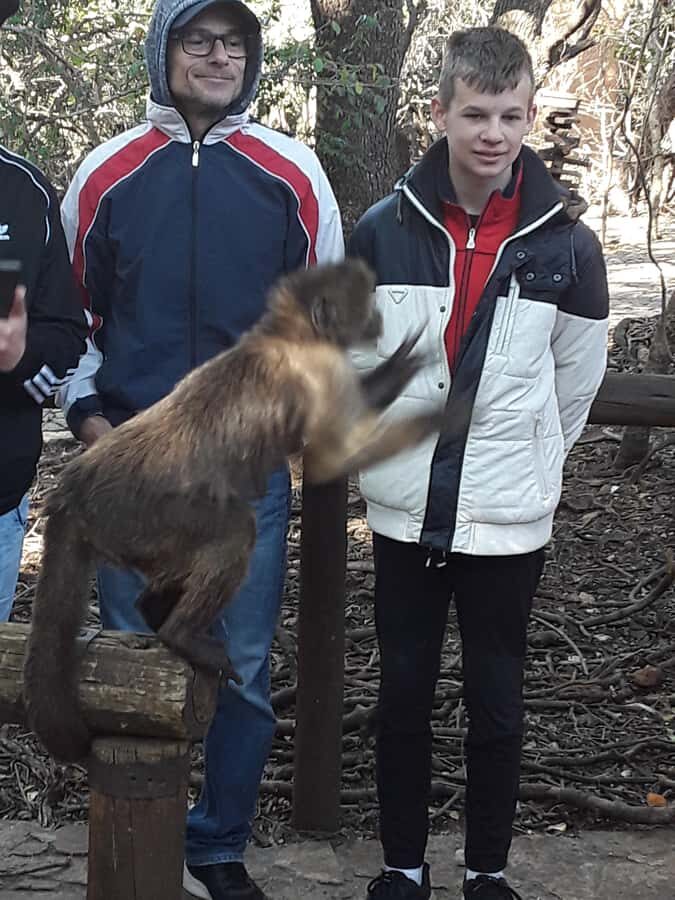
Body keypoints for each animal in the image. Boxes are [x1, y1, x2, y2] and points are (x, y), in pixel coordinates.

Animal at [23, 259, 443, 763]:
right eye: (368, 306)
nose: (378, 321)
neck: (288, 333)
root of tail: (74, 489)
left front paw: (404, 364)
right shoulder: (321, 370)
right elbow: (338, 456)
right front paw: (447, 409)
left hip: (133, 534)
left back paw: (154, 611)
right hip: (147, 515)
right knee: (235, 528)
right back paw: (180, 633)